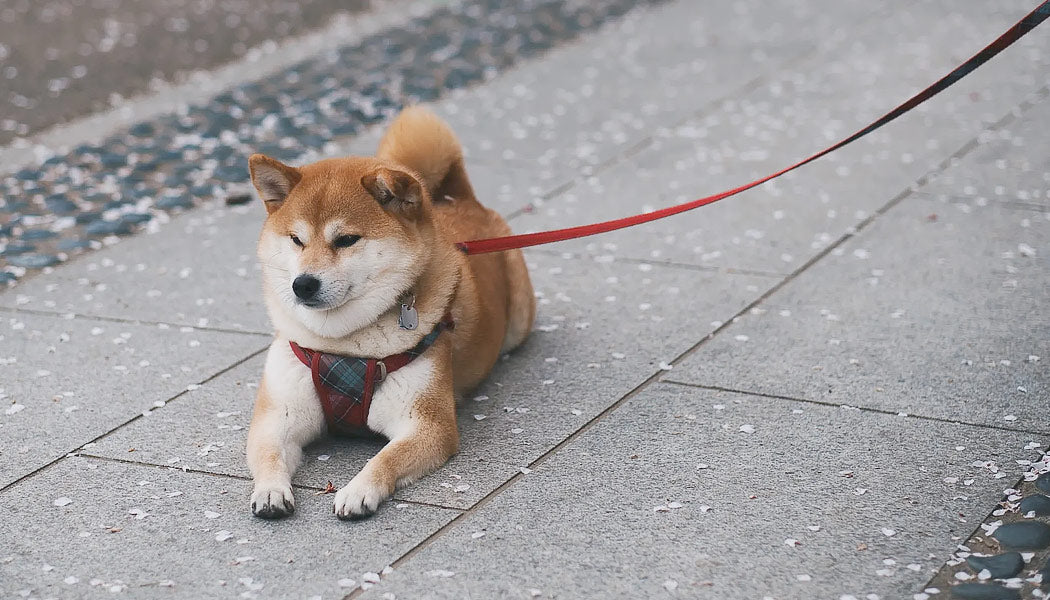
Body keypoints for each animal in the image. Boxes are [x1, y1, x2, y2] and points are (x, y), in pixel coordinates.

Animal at [244, 105, 533, 519]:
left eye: (346, 240)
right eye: (296, 239)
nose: (303, 284)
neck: (342, 346)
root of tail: (457, 199)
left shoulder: (426, 424)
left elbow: (386, 458)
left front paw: (358, 489)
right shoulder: (278, 416)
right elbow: (268, 454)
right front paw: (270, 490)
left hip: (520, 320)